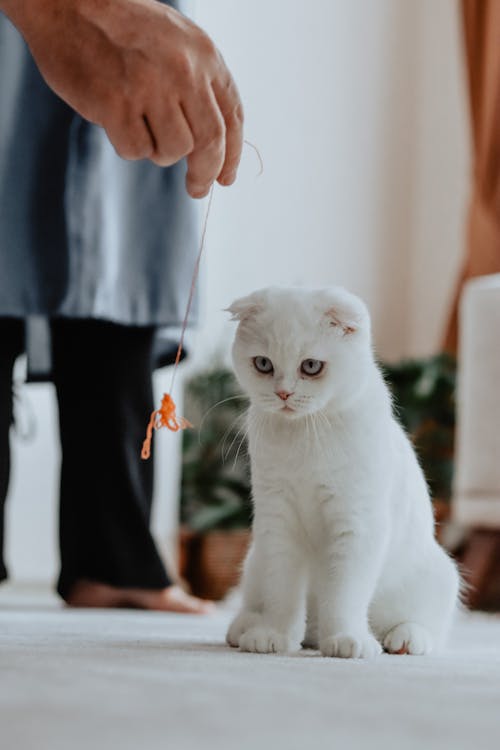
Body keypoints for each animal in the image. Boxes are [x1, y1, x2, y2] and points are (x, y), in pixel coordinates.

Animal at [225, 286, 458, 656]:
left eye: (311, 367)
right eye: (263, 364)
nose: (283, 393)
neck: (306, 434)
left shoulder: (356, 524)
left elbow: (344, 596)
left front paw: (347, 640)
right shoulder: (278, 522)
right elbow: (282, 594)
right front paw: (274, 636)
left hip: (439, 575)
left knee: (427, 627)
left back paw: (404, 639)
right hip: (255, 560)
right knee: (262, 605)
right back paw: (248, 627)